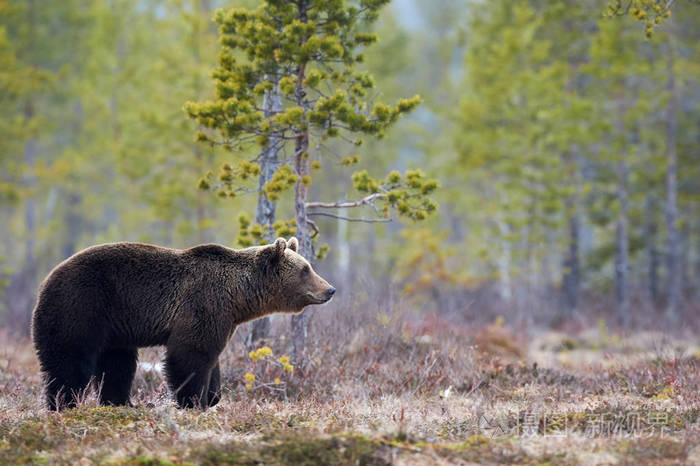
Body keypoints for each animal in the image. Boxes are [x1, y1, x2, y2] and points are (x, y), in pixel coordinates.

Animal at [31, 237, 335, 411]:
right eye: (305, 269)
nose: (330, 289)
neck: (239, 298)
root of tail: (46, 280)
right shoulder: (203, 304)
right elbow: (190, 353)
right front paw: (192, 401)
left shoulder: (223, 318)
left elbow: (211, 358)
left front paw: (212, 396)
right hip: (83, 305)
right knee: (71, 359)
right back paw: (64, 404)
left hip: (115, 328)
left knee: (118, 364)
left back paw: (123, 403)